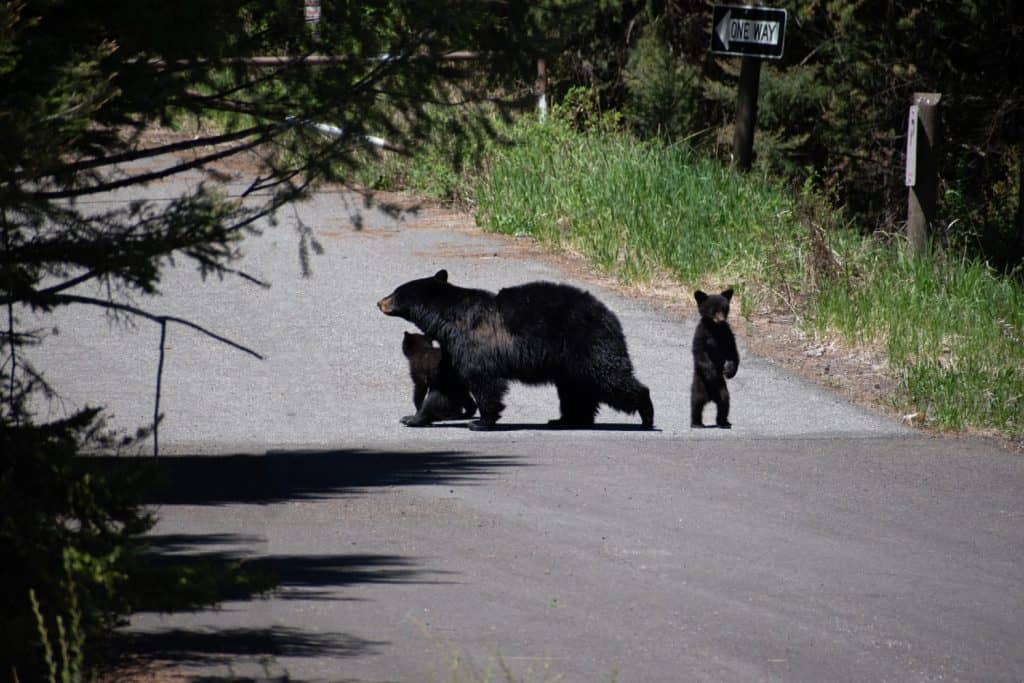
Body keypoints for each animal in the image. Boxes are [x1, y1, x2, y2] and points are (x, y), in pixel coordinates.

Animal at [378, 270, 654, 430]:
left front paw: (482, 421)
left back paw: (646, 414)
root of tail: (610, 316)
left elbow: (484, 381)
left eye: (395, 292)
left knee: (610, 378)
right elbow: (444, 386)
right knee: (576, 390)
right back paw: (567, 419)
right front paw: (413, 418)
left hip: (588, 346)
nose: (379, 302)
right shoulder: (453, 349)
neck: (449, 318)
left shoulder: (473, 342)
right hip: (569, 363)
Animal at [690, 288, 740, 428]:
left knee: (724, 403)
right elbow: (700, 354)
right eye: (714, 310)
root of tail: (710, 397)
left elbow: (733, 353)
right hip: (699, 387)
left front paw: (729, 370)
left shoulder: (727, 334)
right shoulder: (701, 334)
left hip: (722, 390)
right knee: (696, 404)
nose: (721, 320)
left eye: (724, 309)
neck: (715, 329)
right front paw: (712, 373)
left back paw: (724, 422)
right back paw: (696, 423)